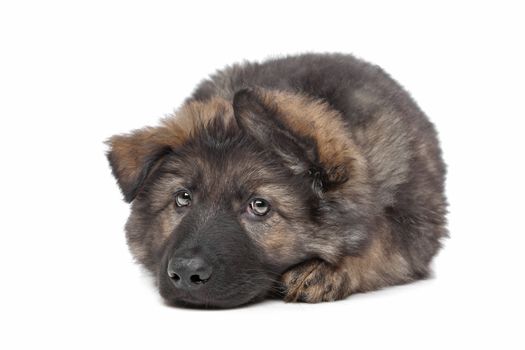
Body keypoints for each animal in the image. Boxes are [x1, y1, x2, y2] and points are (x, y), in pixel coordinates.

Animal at [105, 53, 446, 308]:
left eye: (259, 205)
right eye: (182, 197)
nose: (187, 273)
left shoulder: (415, 226)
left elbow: (383, 244)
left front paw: (324, 271)